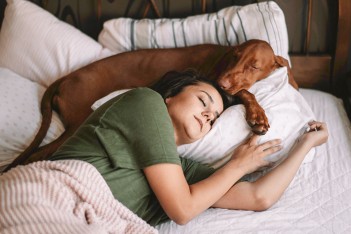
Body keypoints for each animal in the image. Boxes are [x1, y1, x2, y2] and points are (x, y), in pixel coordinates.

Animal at [4, 38, 298, 170]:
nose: (221, 82)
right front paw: (258, 115)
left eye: (254, 66)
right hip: (77, 123)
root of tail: (66, 77)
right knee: (39, 154)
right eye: (234, 56)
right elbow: (247, 93)